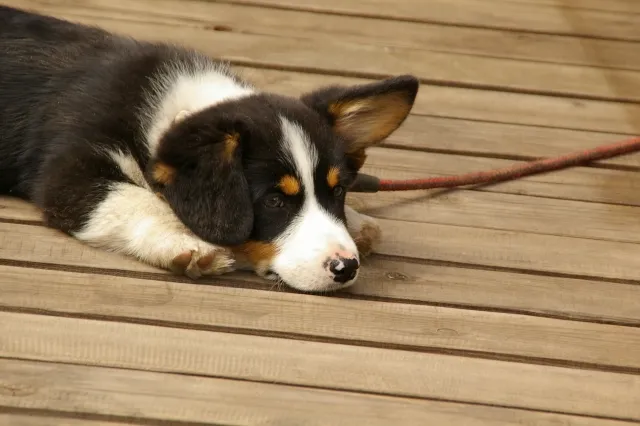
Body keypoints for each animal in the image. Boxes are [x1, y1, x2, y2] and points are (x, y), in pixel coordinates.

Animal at [0, 5, 420, 292]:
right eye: (273, 201)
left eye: (339, 190)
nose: (346, 268)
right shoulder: (69, 171)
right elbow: (134, 198)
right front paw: (185, 242)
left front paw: (358, 222)